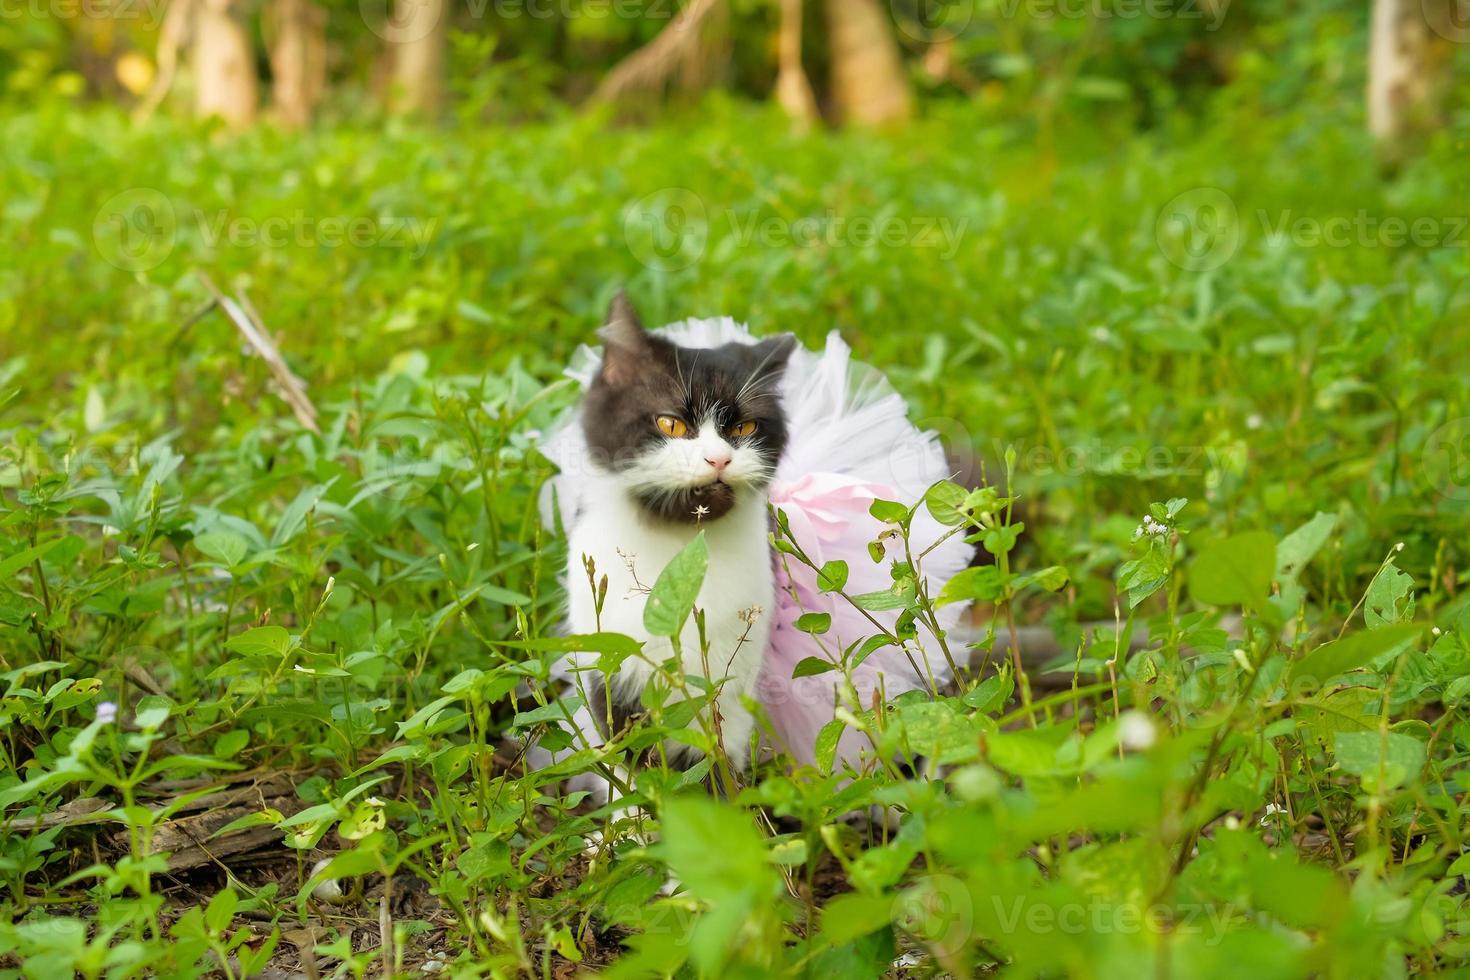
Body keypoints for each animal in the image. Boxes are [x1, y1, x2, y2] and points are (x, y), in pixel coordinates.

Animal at [558, 293, 793, 775]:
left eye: (743, 428)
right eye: (671, 425)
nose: (719, 459)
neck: (678, 549)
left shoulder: (730, 677)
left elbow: (713, 759)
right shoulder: (612, 661)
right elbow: (629, 757)